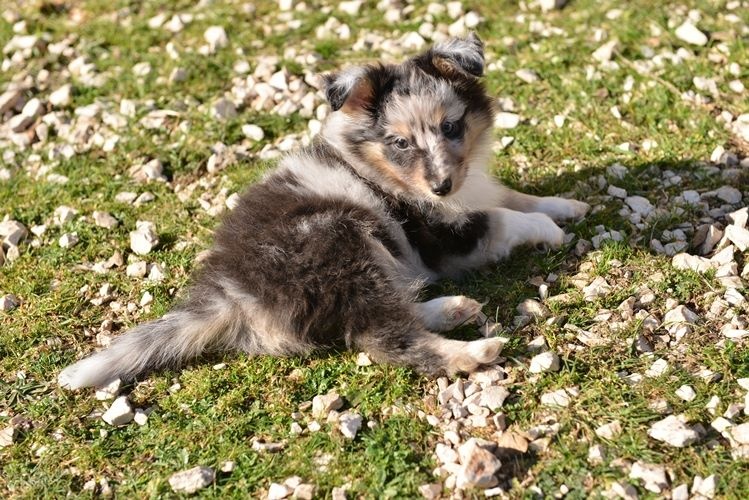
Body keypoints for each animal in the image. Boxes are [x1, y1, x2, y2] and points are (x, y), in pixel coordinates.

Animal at [58, 33, 588, 390]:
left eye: (452, 127)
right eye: (400, 143)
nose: (441, 186)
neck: (381, 171)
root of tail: (232, 292)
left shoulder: (473, 189)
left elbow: (513, 196)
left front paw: (571, 204)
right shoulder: (443, 235)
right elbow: (504, 218)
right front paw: (549, 228)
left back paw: (453, 308)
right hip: (341, 241)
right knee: (383, 336)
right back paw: (477, 350)